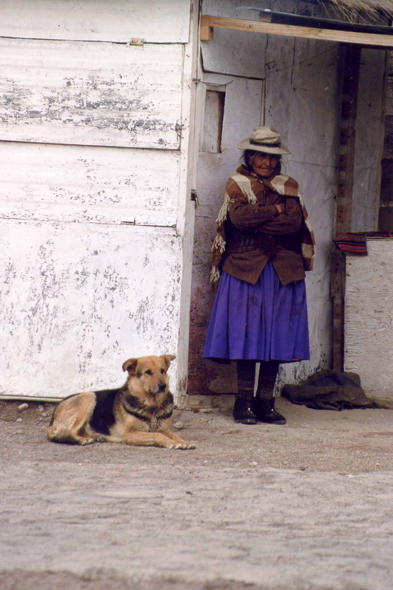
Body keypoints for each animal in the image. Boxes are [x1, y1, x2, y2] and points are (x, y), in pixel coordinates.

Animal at [47, 358, 194, 450]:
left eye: (162, 370)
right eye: (148, 372)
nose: (163, 386)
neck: (152, 406)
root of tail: (54, 416)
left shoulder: (164, 429)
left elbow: (174, 435)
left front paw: (183, 442)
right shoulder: (130, 435)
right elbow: (157, 435)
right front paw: (171, 443)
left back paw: (96, 436)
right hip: (89, 397)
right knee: (64, 432)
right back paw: (81, 440)